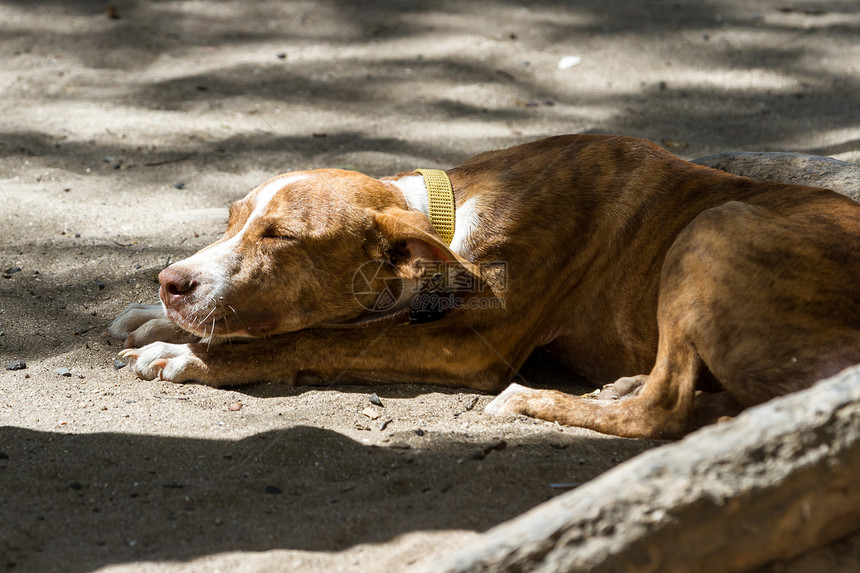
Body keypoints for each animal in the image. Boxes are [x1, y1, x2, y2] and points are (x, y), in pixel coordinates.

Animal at [107, 134, 860, 438]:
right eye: (233, 219)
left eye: (280, 238)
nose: (172, 283)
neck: (451, 213)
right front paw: (154, 318)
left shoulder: (470, 344)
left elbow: (313, 335)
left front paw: (186, 354)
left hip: (714, 223)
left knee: (663, 409)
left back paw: (538, 400)